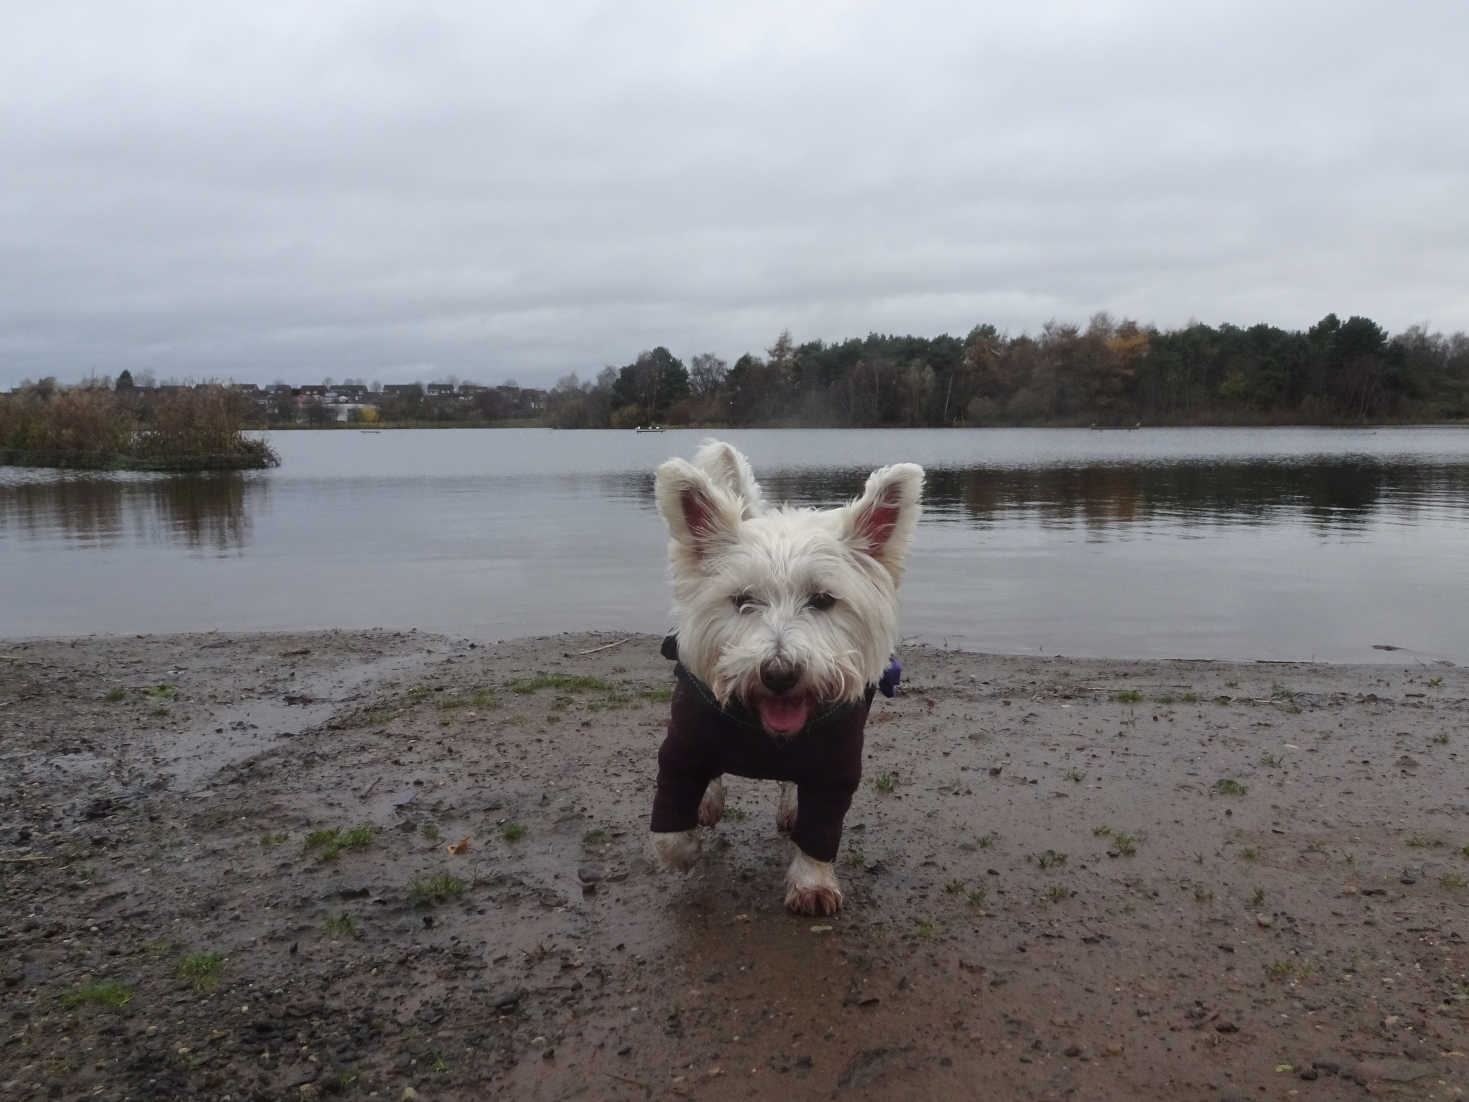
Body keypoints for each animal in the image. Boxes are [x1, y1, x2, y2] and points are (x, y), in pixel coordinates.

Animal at [652, 440, 922, 916]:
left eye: (823, 600)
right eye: (742, 600)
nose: (780, 673)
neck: (764, 733)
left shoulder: (835, 769)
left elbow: (821, 830)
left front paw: (813, 883)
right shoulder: (683, 745)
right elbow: (672, 817)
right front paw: (682, 848)